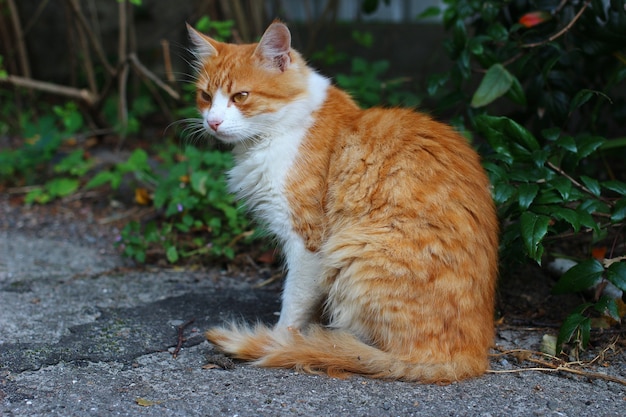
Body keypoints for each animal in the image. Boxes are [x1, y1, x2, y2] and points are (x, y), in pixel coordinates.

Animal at [185, 21, 498, 382]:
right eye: (206, 96)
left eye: (241, 96)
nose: (213, 122)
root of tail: (472, 358)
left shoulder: (308, 242)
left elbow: (293, 304)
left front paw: (279, 339)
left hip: (351, 250)